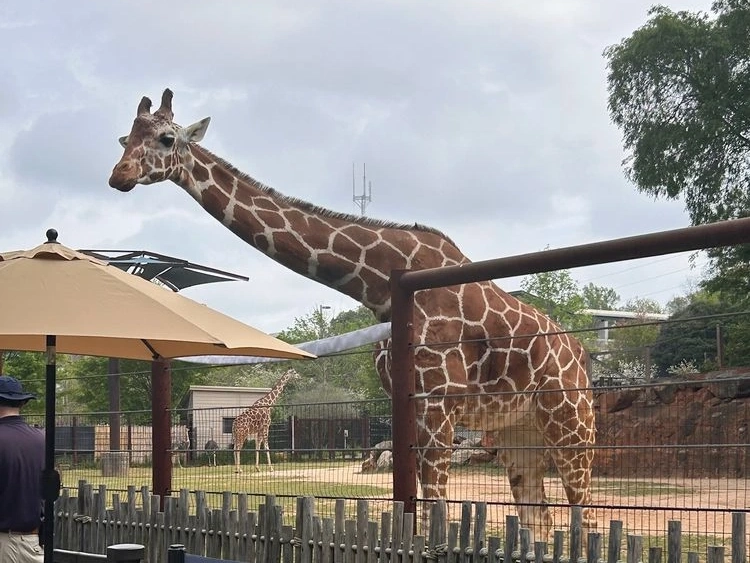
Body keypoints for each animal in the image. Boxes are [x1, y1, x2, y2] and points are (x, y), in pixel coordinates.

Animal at [109, 89, 597, 538]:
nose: (119, 175)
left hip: (571, 425)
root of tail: (580, 353)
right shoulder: (410, 404)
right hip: (520, 434)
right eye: (125, 139)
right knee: (540, 522)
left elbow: (433, 516)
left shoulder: (439, 405)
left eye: (167, 138)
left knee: (584, 514)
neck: (380, 288)